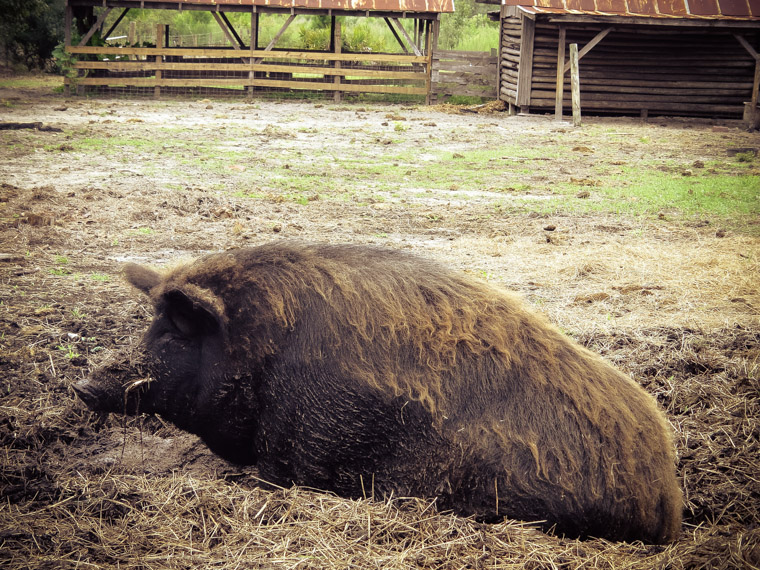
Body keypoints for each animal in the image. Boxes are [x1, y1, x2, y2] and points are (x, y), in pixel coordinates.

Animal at [74, 240, 684, 540]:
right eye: (150, 325)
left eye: (173, 332)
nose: (81, 385)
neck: (261, 349)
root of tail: (668, 500)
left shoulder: (299, 444)